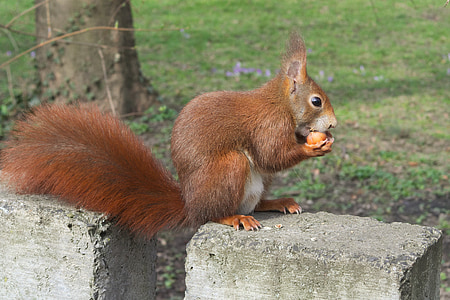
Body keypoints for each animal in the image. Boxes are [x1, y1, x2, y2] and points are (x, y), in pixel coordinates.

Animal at [0, 32, 338, 234]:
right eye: (316, 101)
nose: (333, 124)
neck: (282, 104)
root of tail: (189, 204)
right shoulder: (268, 124)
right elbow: (271, 154)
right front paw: (313, 147)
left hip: (257, 182)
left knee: (253, 202)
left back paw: (277, 202)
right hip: (229, 168)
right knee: (213, 214)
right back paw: (234, 217)